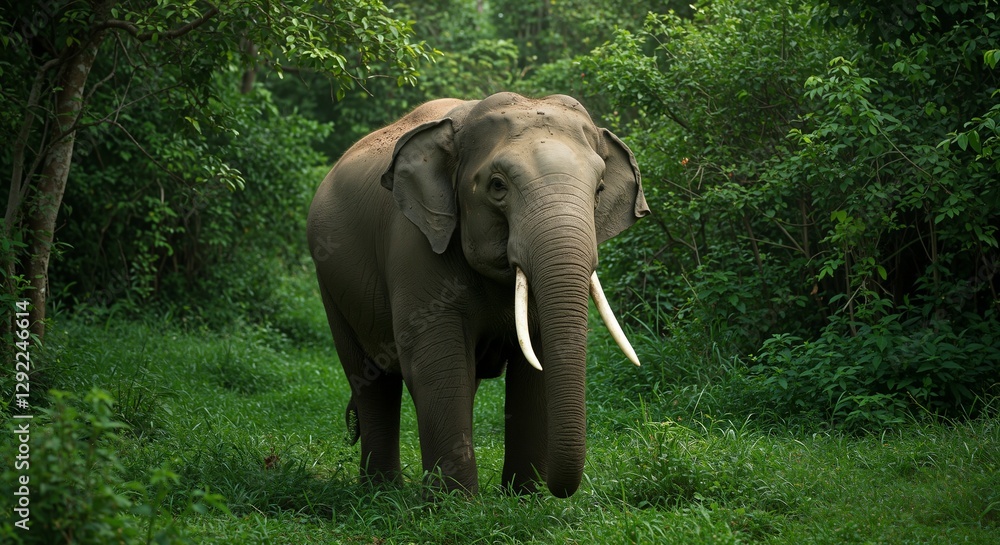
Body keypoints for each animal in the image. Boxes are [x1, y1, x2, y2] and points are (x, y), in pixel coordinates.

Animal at [307, 92, 648, 498]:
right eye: (498, 186)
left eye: (598, 190)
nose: (557, 490)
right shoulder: (414, 246)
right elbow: (436, 364)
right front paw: (456, 503)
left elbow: (534, 370)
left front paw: (523, 499)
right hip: (330, 284)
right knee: (371, 381)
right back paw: (382, 492)